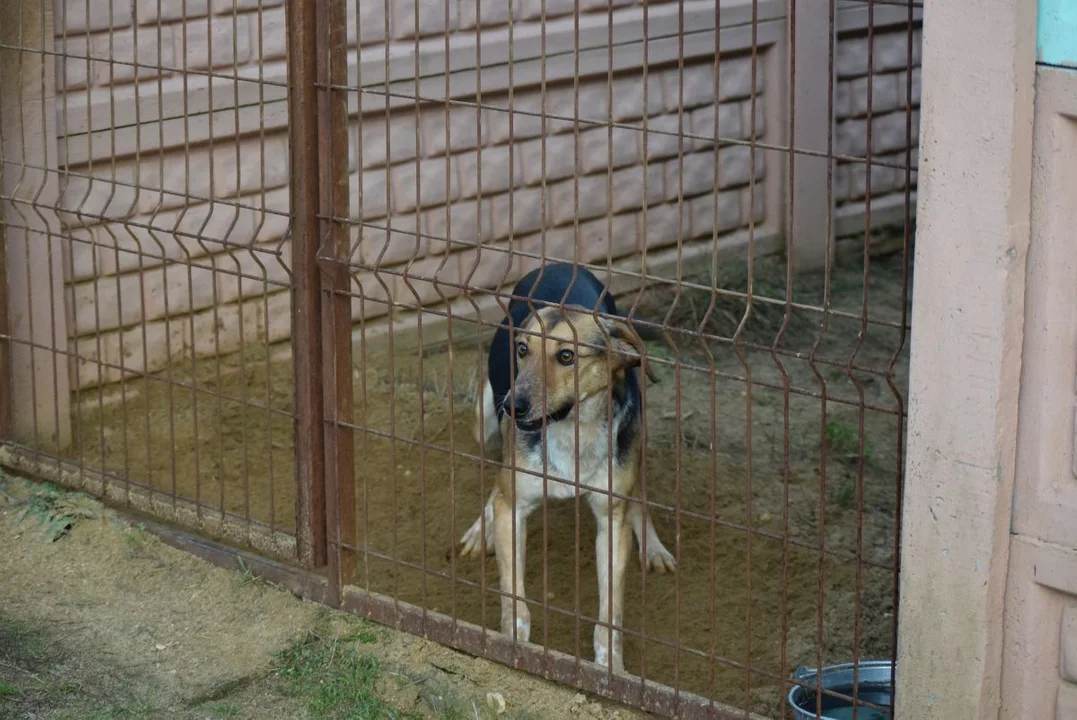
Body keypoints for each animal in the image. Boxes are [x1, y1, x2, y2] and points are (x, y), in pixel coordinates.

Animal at [452, 261, 672, 671]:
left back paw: (654, 547)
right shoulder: (513, 506)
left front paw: (610, 666)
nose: (514, 405)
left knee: (639, 494)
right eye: (523, 349)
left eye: (567, 356)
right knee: (496, 478)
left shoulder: (611, 519)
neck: (573, 432)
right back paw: (479, 529)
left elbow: (610, 612)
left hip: (635, 441)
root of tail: (560, 266)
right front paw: (514, 642)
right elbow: (514, 595)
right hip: (486, 424)